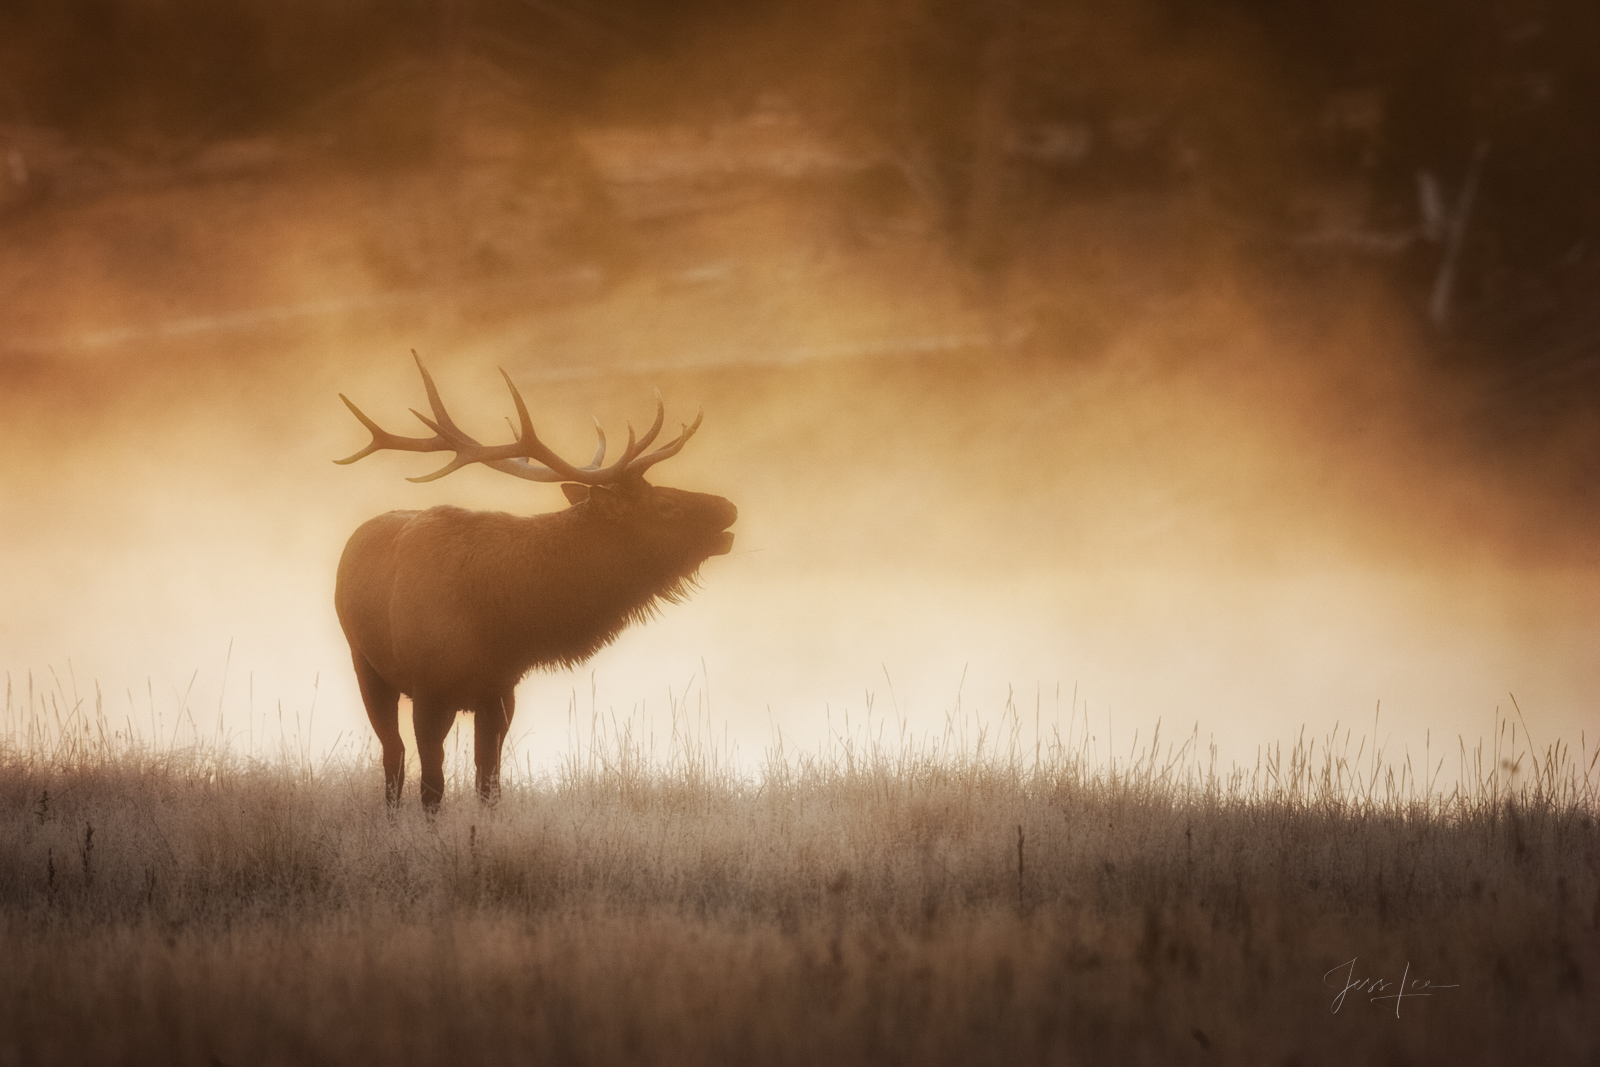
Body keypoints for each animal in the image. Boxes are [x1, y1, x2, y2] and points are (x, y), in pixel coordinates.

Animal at [340, 355, 739, 812]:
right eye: (665, 506)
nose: (729, 507)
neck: (501, 625)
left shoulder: (500, 692)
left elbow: (489, 784)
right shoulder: (429, 693)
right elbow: (432, 787)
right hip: (366, 666)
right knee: (393, 755)